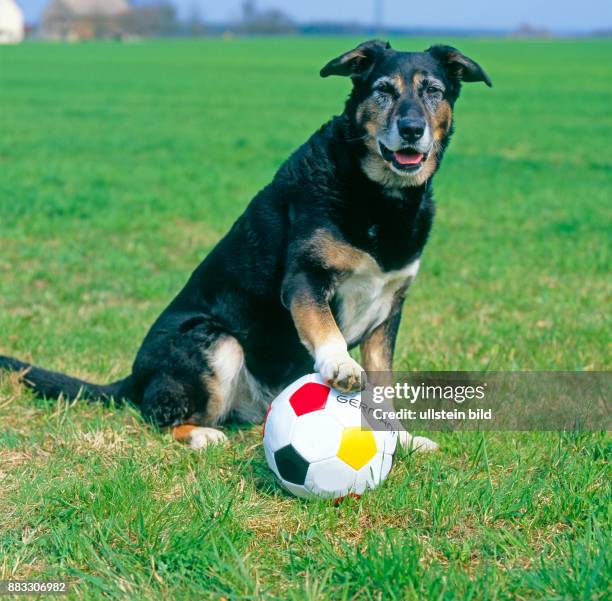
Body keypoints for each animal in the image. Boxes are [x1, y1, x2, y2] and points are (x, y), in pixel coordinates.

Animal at [0, 41, 490, 450]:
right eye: (384, 91)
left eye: (433, 91)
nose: (411, 129)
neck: (380, 196)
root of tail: (135, 377)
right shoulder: (304, 279)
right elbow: (326, 329)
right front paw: (339, 365)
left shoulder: (387, 310)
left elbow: (384, 389)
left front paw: (401, 439)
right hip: (216, 342)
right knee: (158, 415)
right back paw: (201, 435)